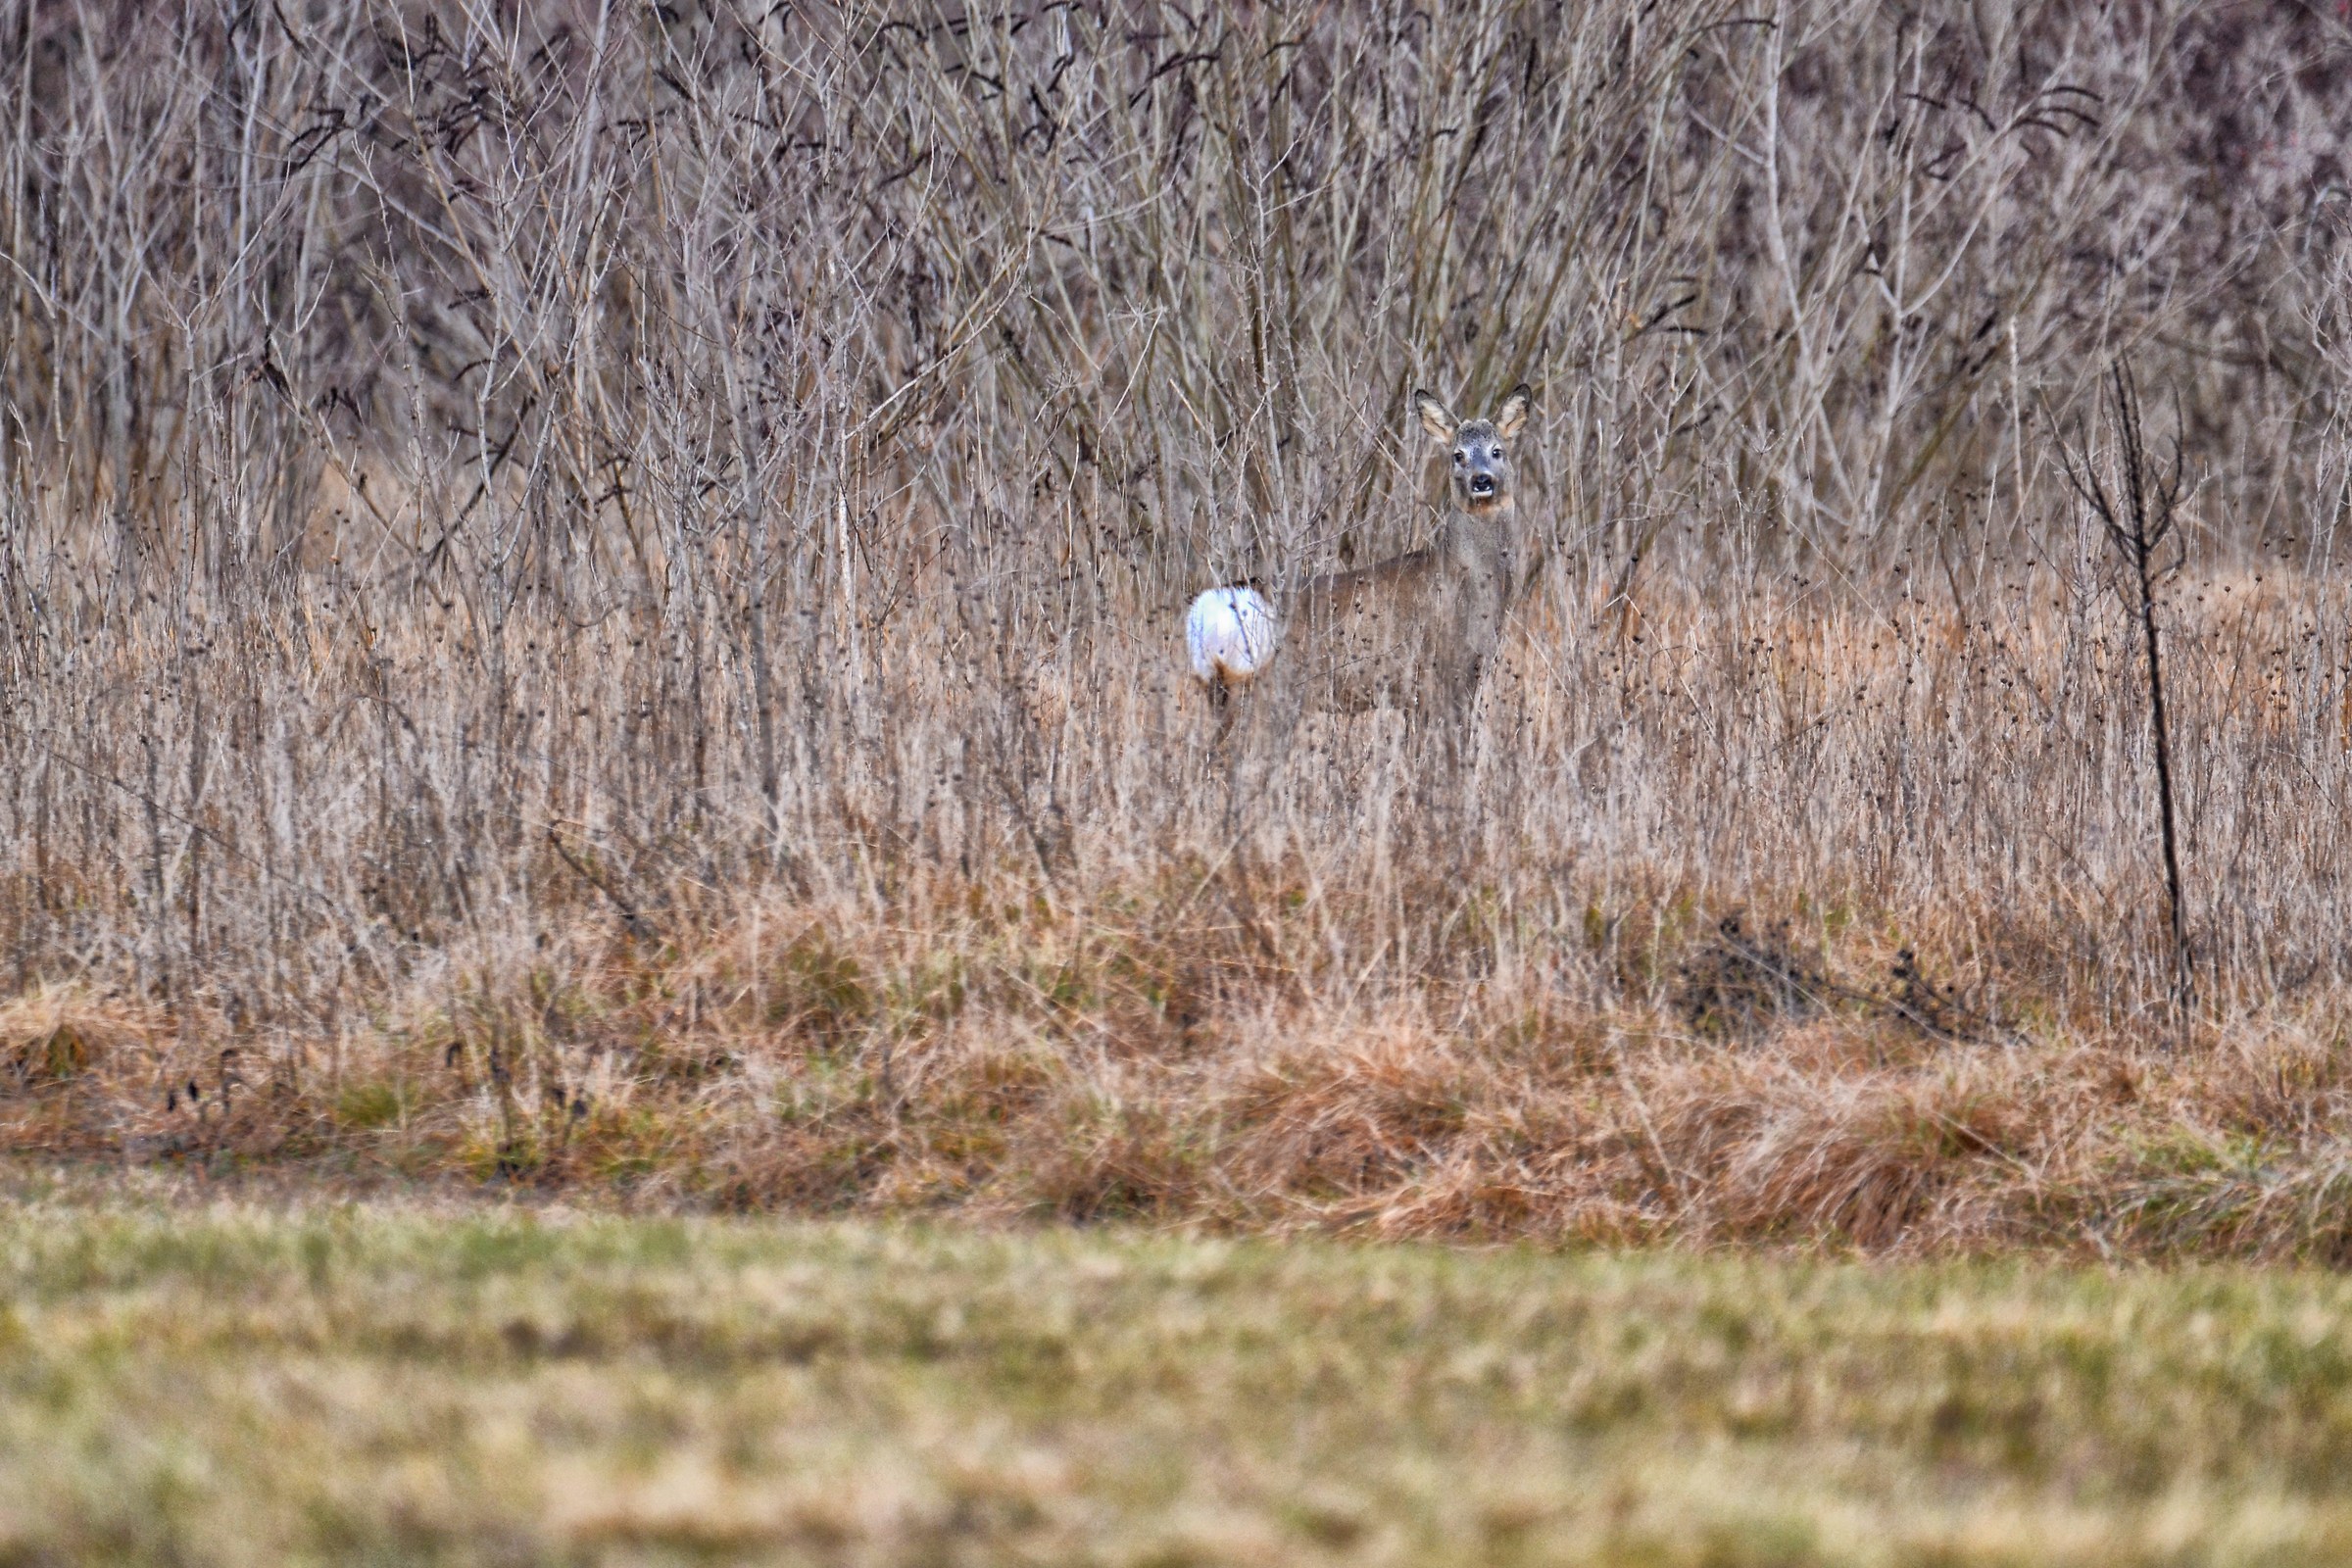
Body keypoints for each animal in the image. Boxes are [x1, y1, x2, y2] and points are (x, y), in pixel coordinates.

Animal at [1187, 384, 1534, 758]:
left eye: (1497, 450)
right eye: (1458, 455)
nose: (1482, 481)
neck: (1469, 577)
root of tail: (1213, 608)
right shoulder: (1444, 671)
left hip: (1225, 692)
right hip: (1266, 691)